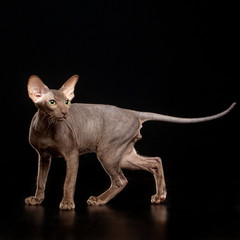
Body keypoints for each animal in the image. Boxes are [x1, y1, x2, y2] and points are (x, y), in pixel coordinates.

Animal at [24, 75, 236, 210]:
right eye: (52, 102)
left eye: (67, 102)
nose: (65, 113)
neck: (47, 127)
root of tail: (132, 112)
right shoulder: (43, 156)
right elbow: (40, 180)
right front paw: (37, 199)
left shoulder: (72, 154)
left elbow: (68, 182)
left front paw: (67, 204)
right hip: (123, 154)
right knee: (155, 161)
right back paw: (160, 196)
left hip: (107, 153)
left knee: (122, 180)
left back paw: (99, 200)